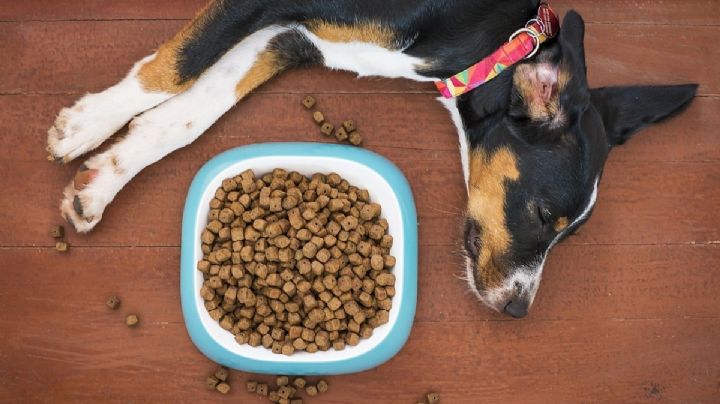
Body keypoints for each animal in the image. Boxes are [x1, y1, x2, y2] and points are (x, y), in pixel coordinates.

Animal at [46, 0, 696, 318]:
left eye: (569, 235)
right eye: (541, 215)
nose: (517, 310)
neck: (492, 38)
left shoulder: (293, 38)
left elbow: (190, 112)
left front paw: (104, 178)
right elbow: (177, 66)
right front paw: (86, 125)